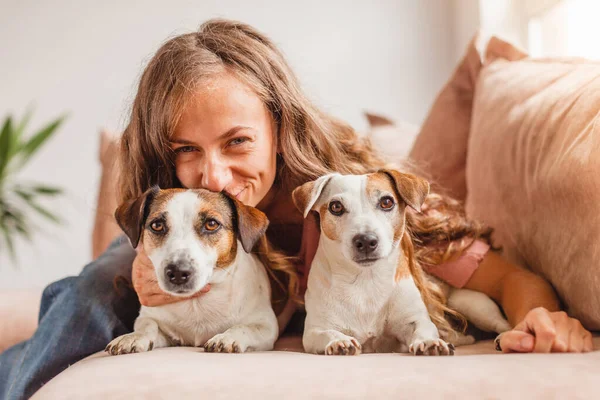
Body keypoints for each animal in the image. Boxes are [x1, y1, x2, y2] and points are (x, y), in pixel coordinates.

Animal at [106, 186, 278, 354]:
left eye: (211, 224)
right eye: (157, 225)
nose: (177, 272)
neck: (196, 303)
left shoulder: (267, 326)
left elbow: (245, 327)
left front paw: (227, 337)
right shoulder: (161, 328)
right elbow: (147, 324)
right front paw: (133, 336)